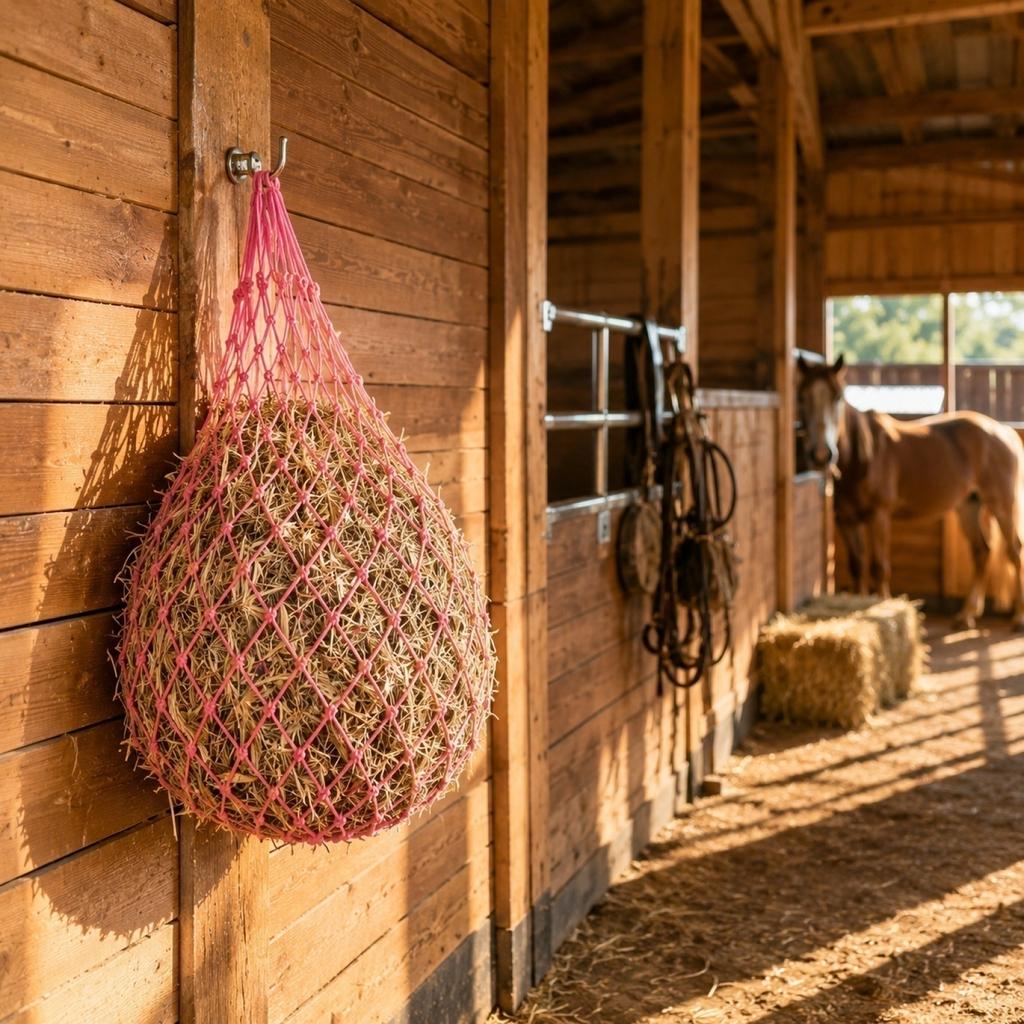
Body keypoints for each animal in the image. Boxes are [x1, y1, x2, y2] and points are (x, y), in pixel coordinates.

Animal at [797, 354, 1024, 630]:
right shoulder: (846, 520)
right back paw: (966, 614)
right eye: (801, 396)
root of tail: (1003, 430)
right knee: (982, 551)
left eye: (838, 396)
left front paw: (882, 610)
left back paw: (1018, 617)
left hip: (1002, 504)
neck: (863, 458)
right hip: (969, 505)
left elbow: (879, 566)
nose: (821, 454)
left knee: (1014, 551)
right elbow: (857, 566)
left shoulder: (879, 515)